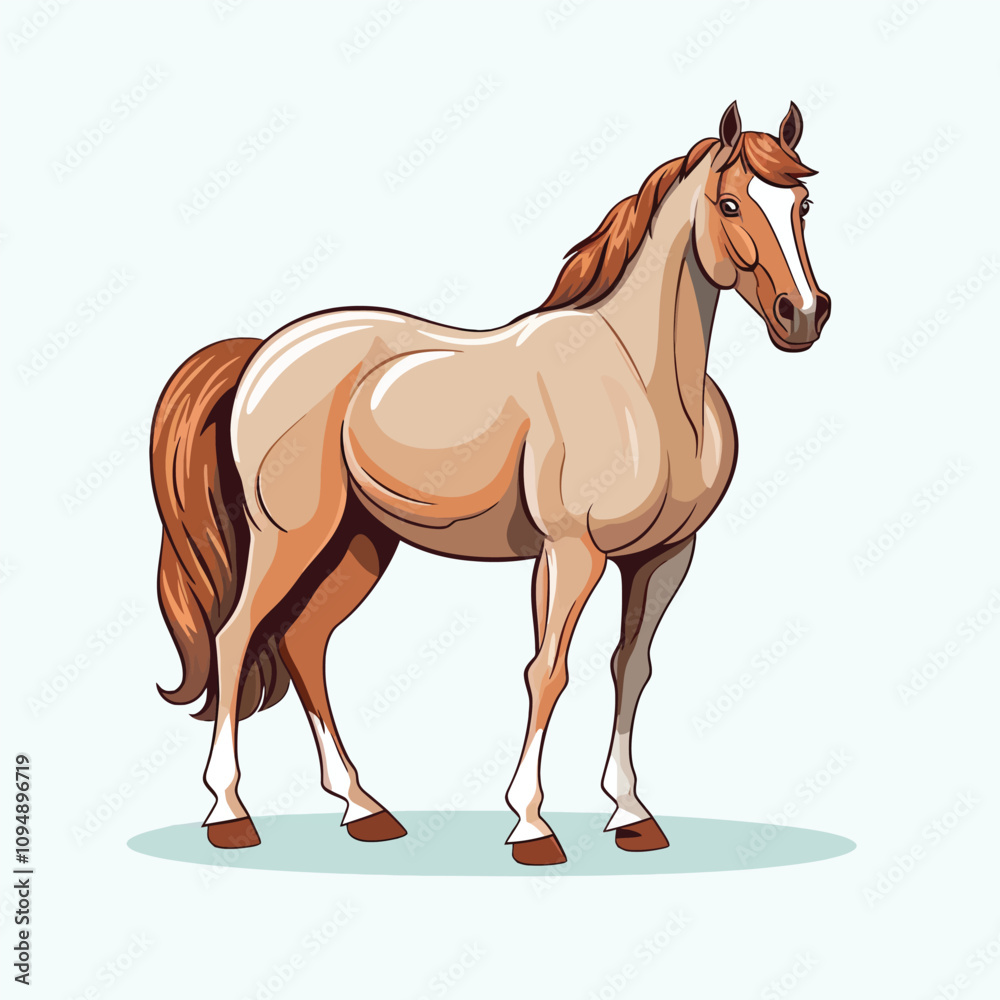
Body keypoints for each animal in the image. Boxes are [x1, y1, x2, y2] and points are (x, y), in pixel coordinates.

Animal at [150, 101, 830, 866]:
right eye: (730, 203)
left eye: (803, 204)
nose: (803, 314)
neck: (642, 384)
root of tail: (264, 352)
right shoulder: (569, 552)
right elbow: (548, 671)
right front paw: (532, 825)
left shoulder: (662, 557)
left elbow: (632, 667)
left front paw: (631, 815)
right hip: (293, 535)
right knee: (235, 636)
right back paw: (230, 813)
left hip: (358, 544)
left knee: (303, 642)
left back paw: (363, 808)